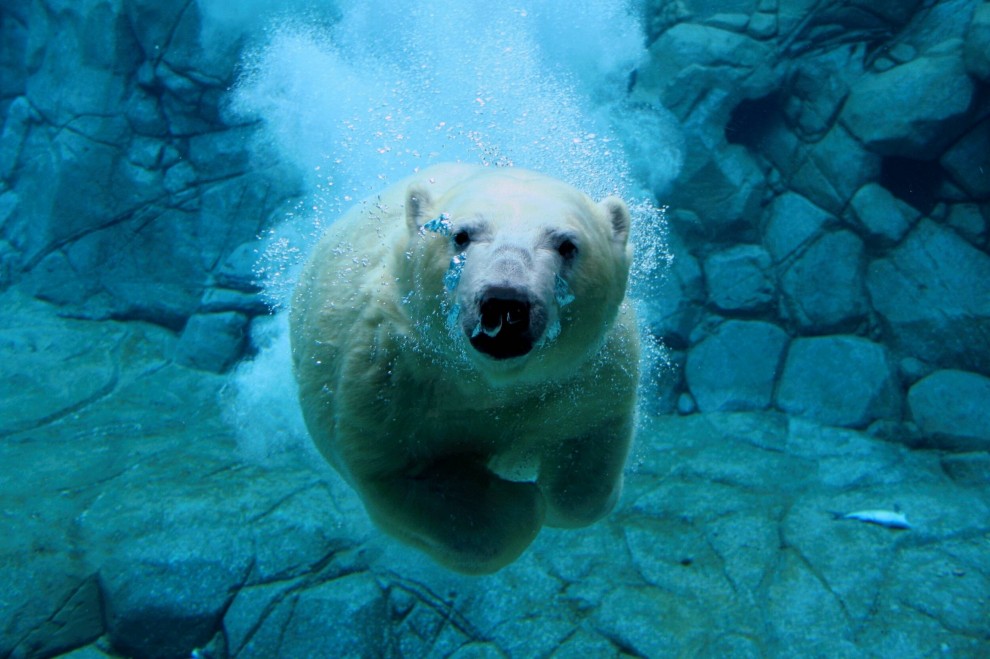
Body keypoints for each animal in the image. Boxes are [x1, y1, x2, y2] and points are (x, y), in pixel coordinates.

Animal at [286, 164, 644, 572]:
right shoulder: (388, 379)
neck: (489, 382)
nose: (505, 302)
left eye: (567, 245)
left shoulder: (588, 375)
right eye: (460, 235)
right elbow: (403, 476)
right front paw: (521, 502)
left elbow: (588, 453)